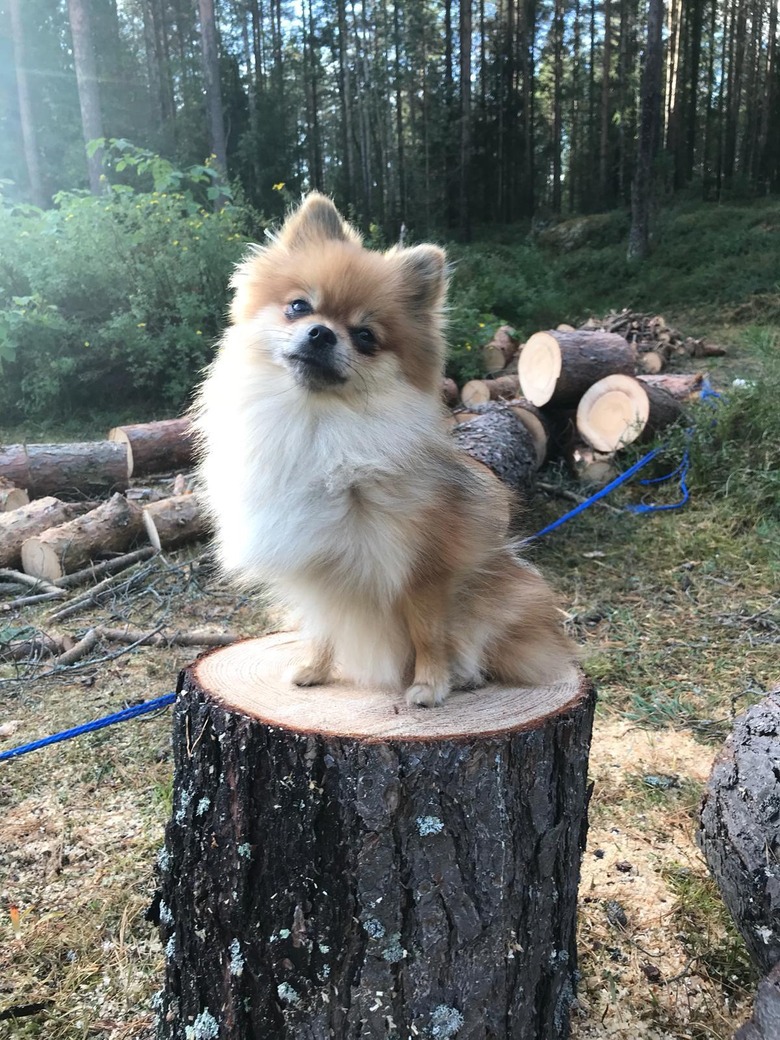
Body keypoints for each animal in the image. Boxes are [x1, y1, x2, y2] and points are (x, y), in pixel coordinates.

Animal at [195, 194, 574, 707]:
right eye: (298, 306)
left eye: (366, 337)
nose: (321, 333)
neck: (318, 427)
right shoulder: (317, 567)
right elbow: (322, 625)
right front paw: (314, 669)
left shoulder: (424, 567)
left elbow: (428, 633)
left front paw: (430, 685)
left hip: (504, 596)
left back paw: (466, 675)